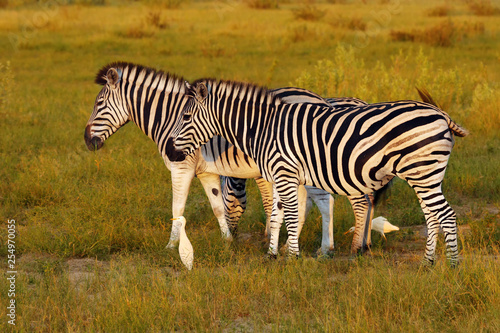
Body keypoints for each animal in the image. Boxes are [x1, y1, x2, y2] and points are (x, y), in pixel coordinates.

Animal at [84, 63, 370, 258]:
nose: (87, 141)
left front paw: (171, 246)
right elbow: (218, 206)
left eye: (99, 104)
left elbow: (177, 208)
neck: (170, 117)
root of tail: (322, 99)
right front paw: (228, 242)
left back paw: (337, 247)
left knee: (327, 201)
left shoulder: (181, 167)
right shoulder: (206, 172)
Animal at [168, 78, 468, 264]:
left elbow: (290, 215)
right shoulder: (280, 176)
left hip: (422, 172)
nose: (171, 152)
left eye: (185, 117)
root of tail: (442, 114)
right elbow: (276, 216)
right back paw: (428, 261)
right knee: (431, 215)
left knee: (446, 215)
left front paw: (292, 256)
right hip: (426, 176)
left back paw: (452, 264)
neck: (262, 128)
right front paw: (272, 255)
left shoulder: (285, 173)